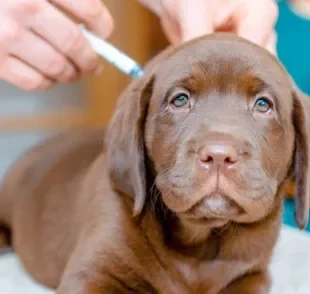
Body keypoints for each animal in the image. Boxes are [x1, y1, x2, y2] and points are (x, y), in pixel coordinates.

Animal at [0, 33, 310, 292]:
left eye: (263, 105)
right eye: (180, 100)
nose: (219, 155)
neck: (200, 243)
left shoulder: (252, 274)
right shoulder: (92, 272)